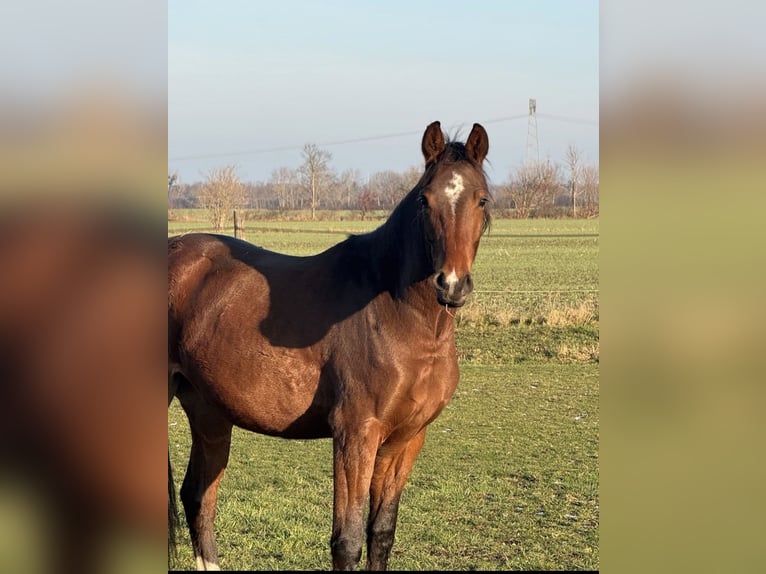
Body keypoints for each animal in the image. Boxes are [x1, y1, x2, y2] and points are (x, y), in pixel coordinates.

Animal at [167, 121, 491, 571]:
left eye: (482, 199)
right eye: (424, 201)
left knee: (198, 497)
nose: (451, 284)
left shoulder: (406, 440)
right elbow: (348, 540)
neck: (397, 314)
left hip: (208, 411)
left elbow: (381, 533)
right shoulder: (355, 434)